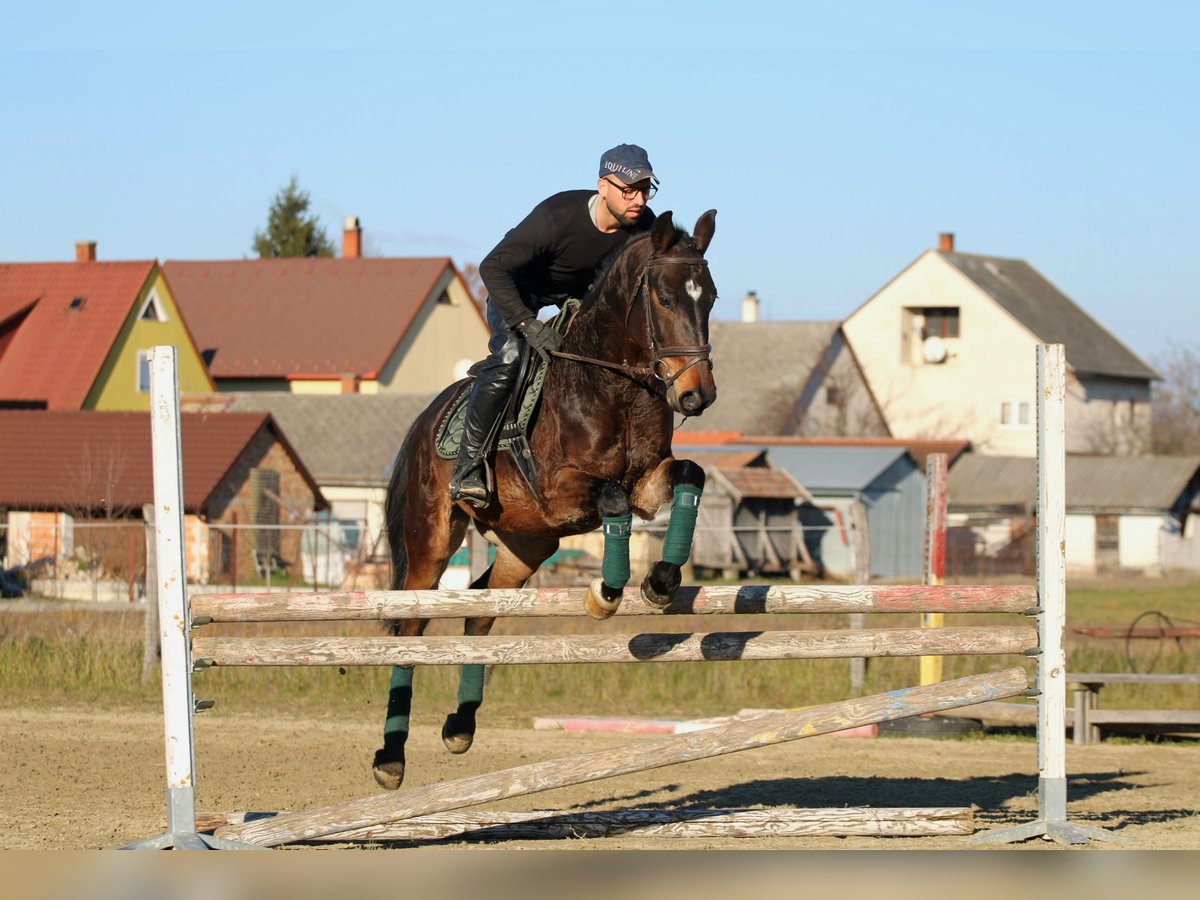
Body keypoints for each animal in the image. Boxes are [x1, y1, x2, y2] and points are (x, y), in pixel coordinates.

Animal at [369, 210, 715, 787]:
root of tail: (423, 423)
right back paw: (389, 758)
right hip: (431, 545)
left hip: (525, 544)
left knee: (481, 611)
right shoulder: (560, 491)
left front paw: (661, 582)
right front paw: (606, 593)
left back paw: (460, 726)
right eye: (666, 299)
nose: (697, 395)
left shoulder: (648, 482)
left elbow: (689, 474)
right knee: (412, 627)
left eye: (709, 297)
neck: (615, 385)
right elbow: (613, 500)